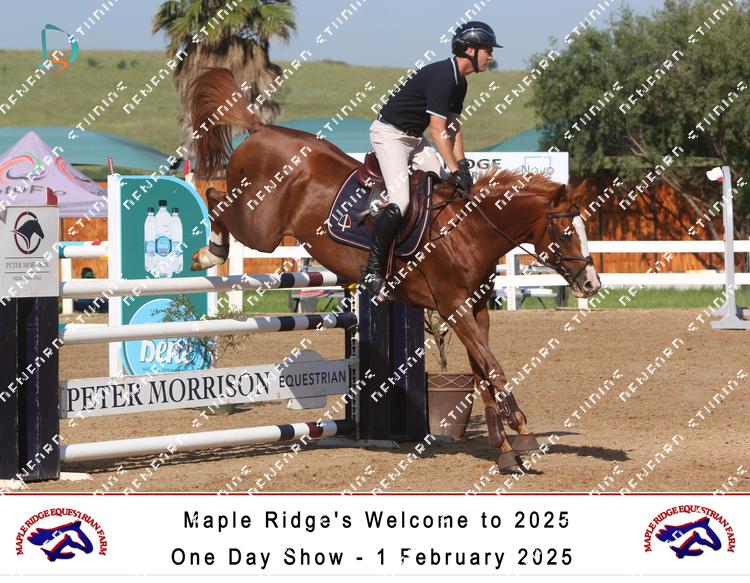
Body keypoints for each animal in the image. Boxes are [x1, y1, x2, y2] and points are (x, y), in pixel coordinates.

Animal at [188, 68, 602, 470]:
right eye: (567, 233)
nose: (592, 284)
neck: (469, 229)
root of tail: (261, 128)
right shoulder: (454, 308)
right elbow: (493, 368)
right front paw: (523, 431)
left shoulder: (477, 309)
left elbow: (483, 372)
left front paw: (505, 452)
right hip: (262, 228)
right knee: (217, 199)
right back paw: (208, 253)